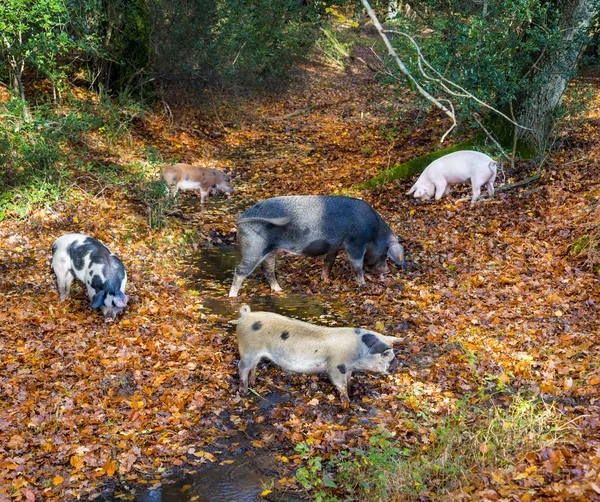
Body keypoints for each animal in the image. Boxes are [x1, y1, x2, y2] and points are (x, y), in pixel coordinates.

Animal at [227, 195, 406, 298]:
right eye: (385, 253)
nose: (387, 271)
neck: (373, 232)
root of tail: (241, 218)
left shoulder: (334, 246)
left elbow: (328, 262)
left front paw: (325, 280)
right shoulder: (355, 243)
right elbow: (357, 265)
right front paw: (363, 285)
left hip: (269, 252)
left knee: (268, 270)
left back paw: (279, 290)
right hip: (253, 248)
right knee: (240, 270)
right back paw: (232, 297)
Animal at [231, 304, 404, 406]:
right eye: (386, 354)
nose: (397, 365)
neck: (357, 351)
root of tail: (246, 316)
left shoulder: (348, 369)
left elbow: (349, 382)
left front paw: (351, 392)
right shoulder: (336, 366)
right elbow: (340, 385)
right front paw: (347, 404)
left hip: (256, 354)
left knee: (253, 366)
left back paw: (253, 384)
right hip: (247, 349)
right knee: (242, 367)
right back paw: (244, 391)